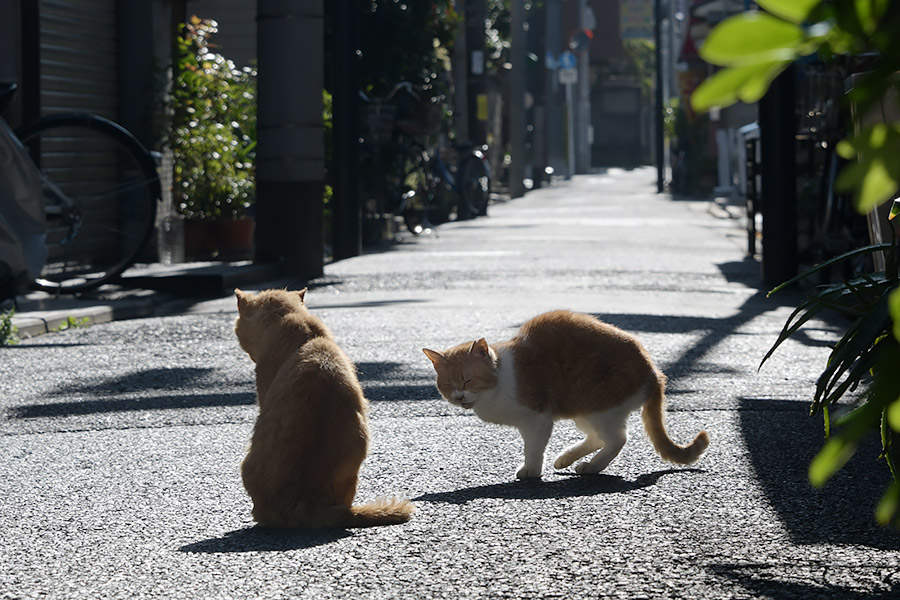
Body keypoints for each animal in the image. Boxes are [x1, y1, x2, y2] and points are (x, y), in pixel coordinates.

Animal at [424, 312, 712, 480]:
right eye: (448, 385)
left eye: (468, 380)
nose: (459, 397)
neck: (499, 382)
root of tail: (655, 373)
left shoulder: (537, 418)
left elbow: (533, 448)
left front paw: (531, 471)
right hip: (584, 410)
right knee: (597, 438)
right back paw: (567, 459)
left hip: (600, 406)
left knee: (617, 439)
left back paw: (592, 467)